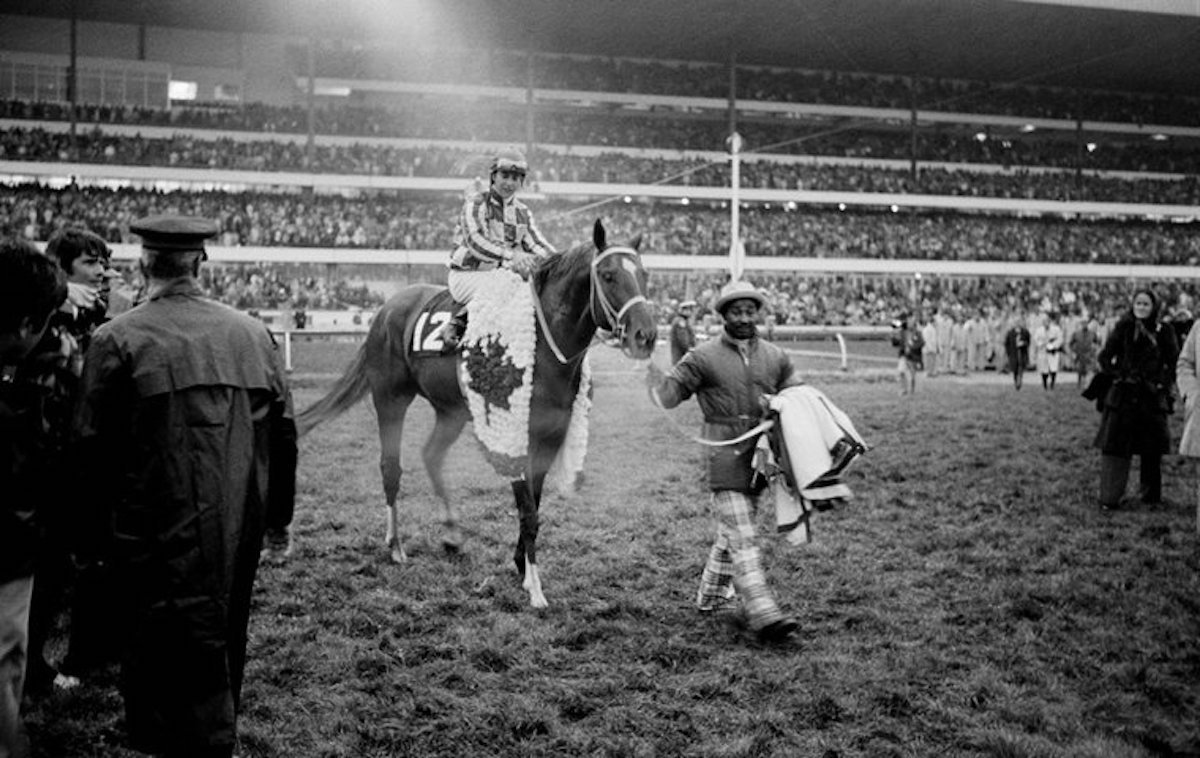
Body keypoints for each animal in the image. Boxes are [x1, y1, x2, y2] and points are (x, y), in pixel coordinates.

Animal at [297, 217, 657, 604]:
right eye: (607, 275)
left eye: (644, 273)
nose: (646, 335)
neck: (543, 348)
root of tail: (386, 309)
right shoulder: (512, 433)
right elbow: (528, 511)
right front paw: (535, 588)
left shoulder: (550, 435)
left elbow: (535, 505)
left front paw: (522, 567)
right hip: (390, 399)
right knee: (390, 467)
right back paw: (395, 545)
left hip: (451, 411)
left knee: (431, 455)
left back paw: (452, 534)